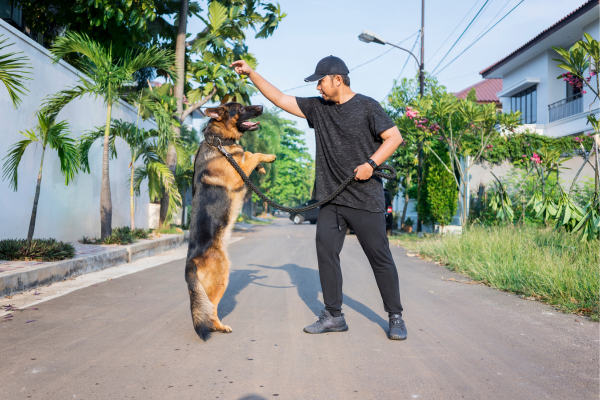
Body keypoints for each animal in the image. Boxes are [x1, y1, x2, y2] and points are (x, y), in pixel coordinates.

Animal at [185, 101, 276, 340]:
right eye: (241, 108)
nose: (262, 106)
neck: (218, 142)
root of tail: (191, 262)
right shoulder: (238, 175)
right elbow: (253, 154)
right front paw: (267, 158)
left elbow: (249, 153)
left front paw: (261, 167)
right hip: (222, 275)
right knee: (212, 308)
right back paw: (220, 326)